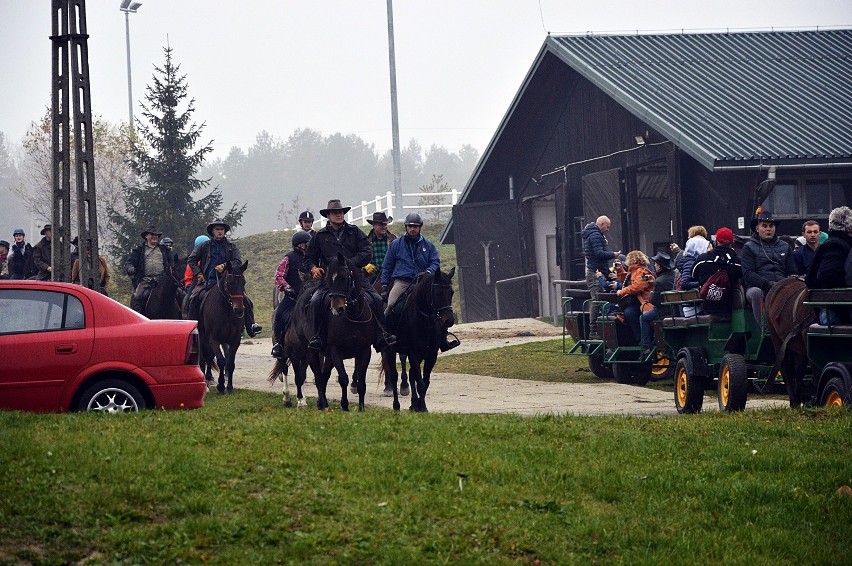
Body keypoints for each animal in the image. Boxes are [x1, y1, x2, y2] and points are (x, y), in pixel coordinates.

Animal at [200, 262, 250, 394]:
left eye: (243, 282)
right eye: (230, 282)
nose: (239, 310)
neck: (226, 310)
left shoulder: (235, 340)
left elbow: (230, 363)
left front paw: (229, 387)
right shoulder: (213, 339)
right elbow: (221, 361)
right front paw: (221, 386)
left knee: (209, 357)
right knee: (203, 358)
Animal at [382, 270, 456, 412]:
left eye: (451, 292)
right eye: (437, 293)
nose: (449, 320)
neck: (425, 321)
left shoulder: (431, 355)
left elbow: (424, 382)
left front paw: (421, 406)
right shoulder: (413, 353)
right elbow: (421, 384)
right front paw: (423, 408)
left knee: (412, 375)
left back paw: (413, 404)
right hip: (390, 350)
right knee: (394, 376)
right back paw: (396, 406)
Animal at [764, 276, 820, 406]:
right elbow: (817, 370)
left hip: (798, 346)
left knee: (799, 369)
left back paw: (798, 399)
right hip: (776, 338)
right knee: (785, 366)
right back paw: (794, 401)